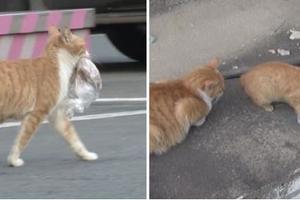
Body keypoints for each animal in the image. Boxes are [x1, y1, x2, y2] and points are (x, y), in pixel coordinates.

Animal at [0, 27, 97, 167]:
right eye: (83, 44)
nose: (89, 52)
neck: (57, 62)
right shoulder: (37, 113)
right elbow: (22, 139)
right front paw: (13, 160)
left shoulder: (57, 114)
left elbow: (73, 137)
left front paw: (86, 155)